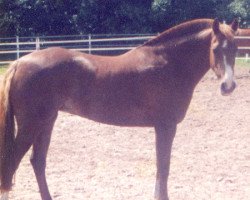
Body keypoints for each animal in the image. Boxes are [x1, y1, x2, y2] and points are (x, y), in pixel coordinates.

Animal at [0, 19, 238, 200]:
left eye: (236, 49)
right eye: (215, 49)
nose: (228, 86)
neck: (169, 64)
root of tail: (19, 63)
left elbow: (161, 166)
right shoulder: (166, 126)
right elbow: (163, 166)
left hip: (47, 122)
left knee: (37, 161)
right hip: (31, 126)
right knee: (11, 163)